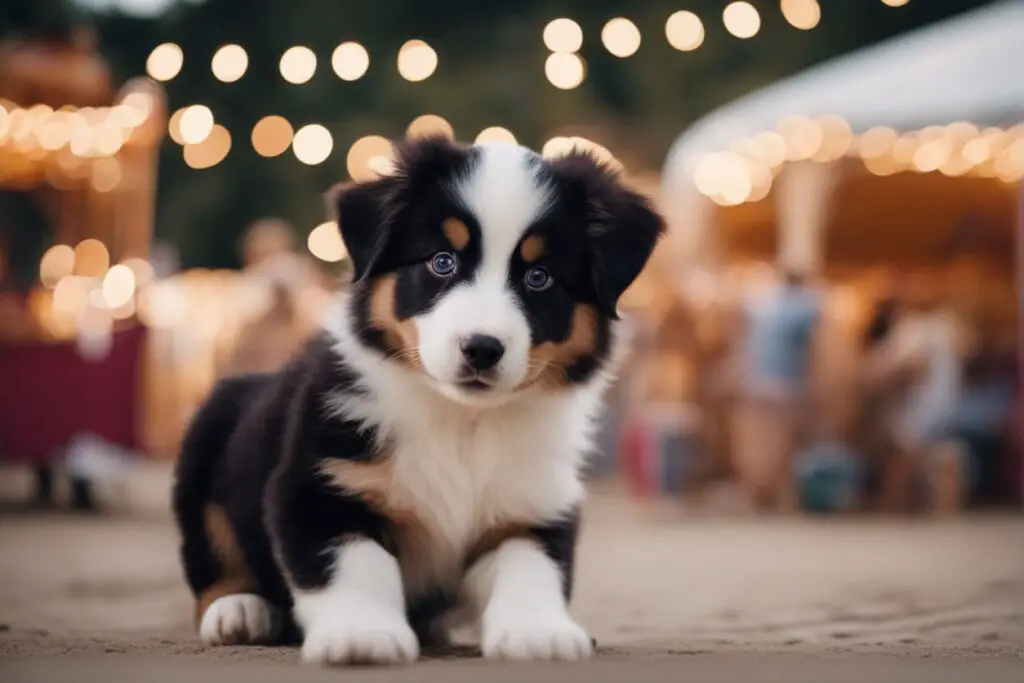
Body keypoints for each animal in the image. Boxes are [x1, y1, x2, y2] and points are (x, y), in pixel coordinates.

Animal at [172, 136, 663, 663]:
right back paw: (240, 611)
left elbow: (530, 568)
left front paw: (539, 631)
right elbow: (356, 565)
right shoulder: (318, 487)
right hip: (209, 433)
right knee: (211, 563)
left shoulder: (531, 505)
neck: (463, 421)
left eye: (540, 277)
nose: (482, 348)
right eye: (442, 261)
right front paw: (362, 634)